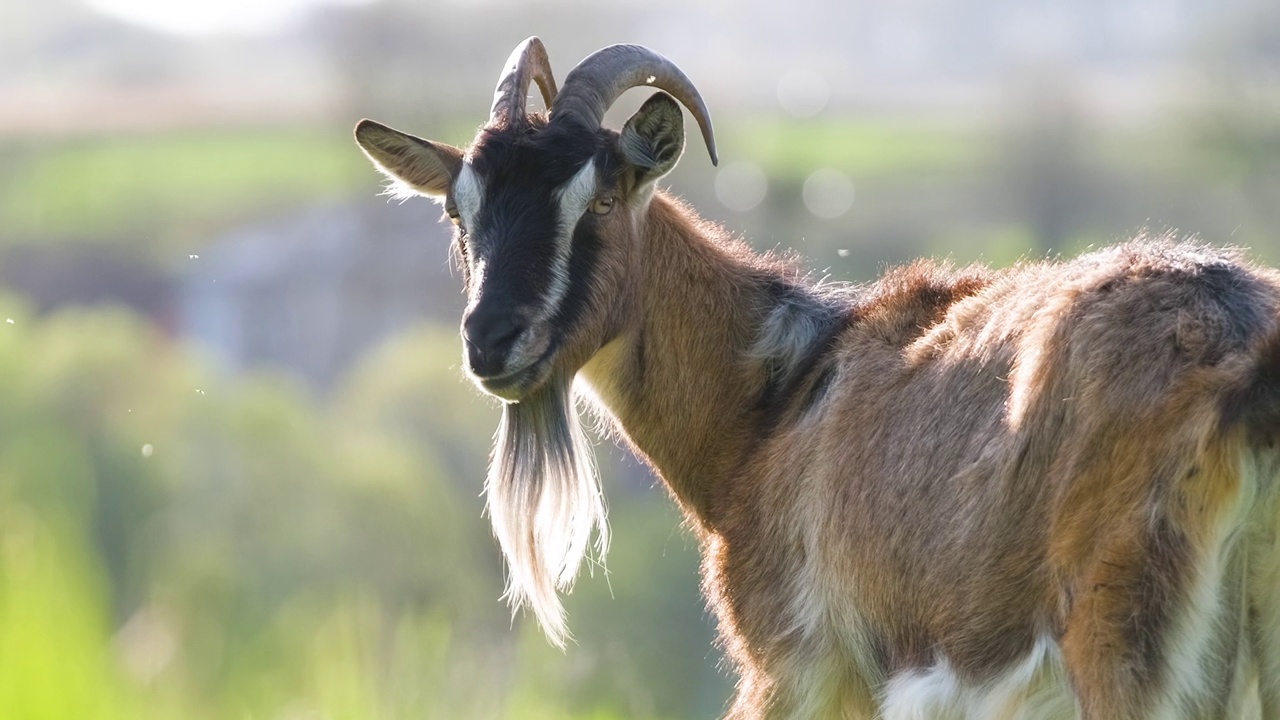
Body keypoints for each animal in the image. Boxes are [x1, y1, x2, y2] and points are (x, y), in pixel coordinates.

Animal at [355, 39, 1280, 717]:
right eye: (459, 210)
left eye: (602, 199)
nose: (492, 342)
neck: (773, 400)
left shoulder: (797, 665)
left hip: (1127, 645)